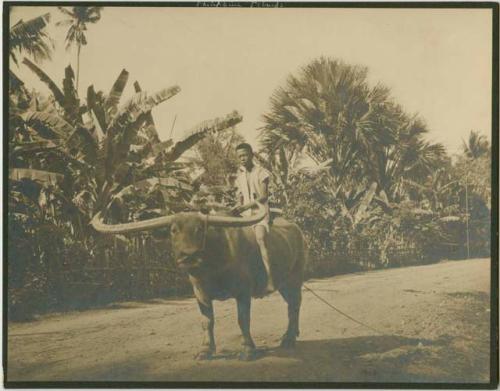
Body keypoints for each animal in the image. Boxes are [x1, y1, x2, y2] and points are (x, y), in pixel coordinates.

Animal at [92, 208, 306, 362]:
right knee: (291, 305)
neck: (213, 265)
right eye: (174, 230)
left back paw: (288, 339)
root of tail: (297, 230)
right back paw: (292, 334)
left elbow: (243, 320)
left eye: (199, 229)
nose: (189, 256)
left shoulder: (243, 291)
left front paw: (247, 351)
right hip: (283, 282)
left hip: (295, 277)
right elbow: (207, 321)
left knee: (295, 305)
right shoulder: (199, 292)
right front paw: (205, 350)